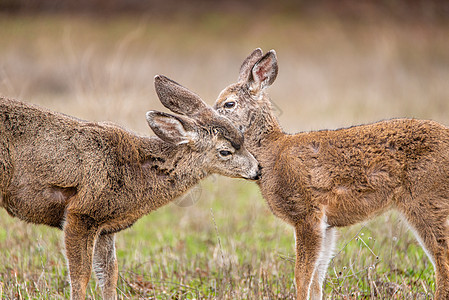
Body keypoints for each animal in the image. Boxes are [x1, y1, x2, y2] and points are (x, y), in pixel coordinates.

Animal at [0, 75, 260, 300]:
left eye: (243, 139)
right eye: (225, 151)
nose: (258, 169)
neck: (135, 172)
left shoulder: (105, 226)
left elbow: (109, 274)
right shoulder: (81, 213)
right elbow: (80, 276)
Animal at [159, 48, 448, 298]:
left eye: (229, 104)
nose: (213, 123)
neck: (273, 152)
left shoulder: (307, 214)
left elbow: (301, 277)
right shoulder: (327, 224)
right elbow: (317, 279)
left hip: (426, 199)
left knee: (442, 258)